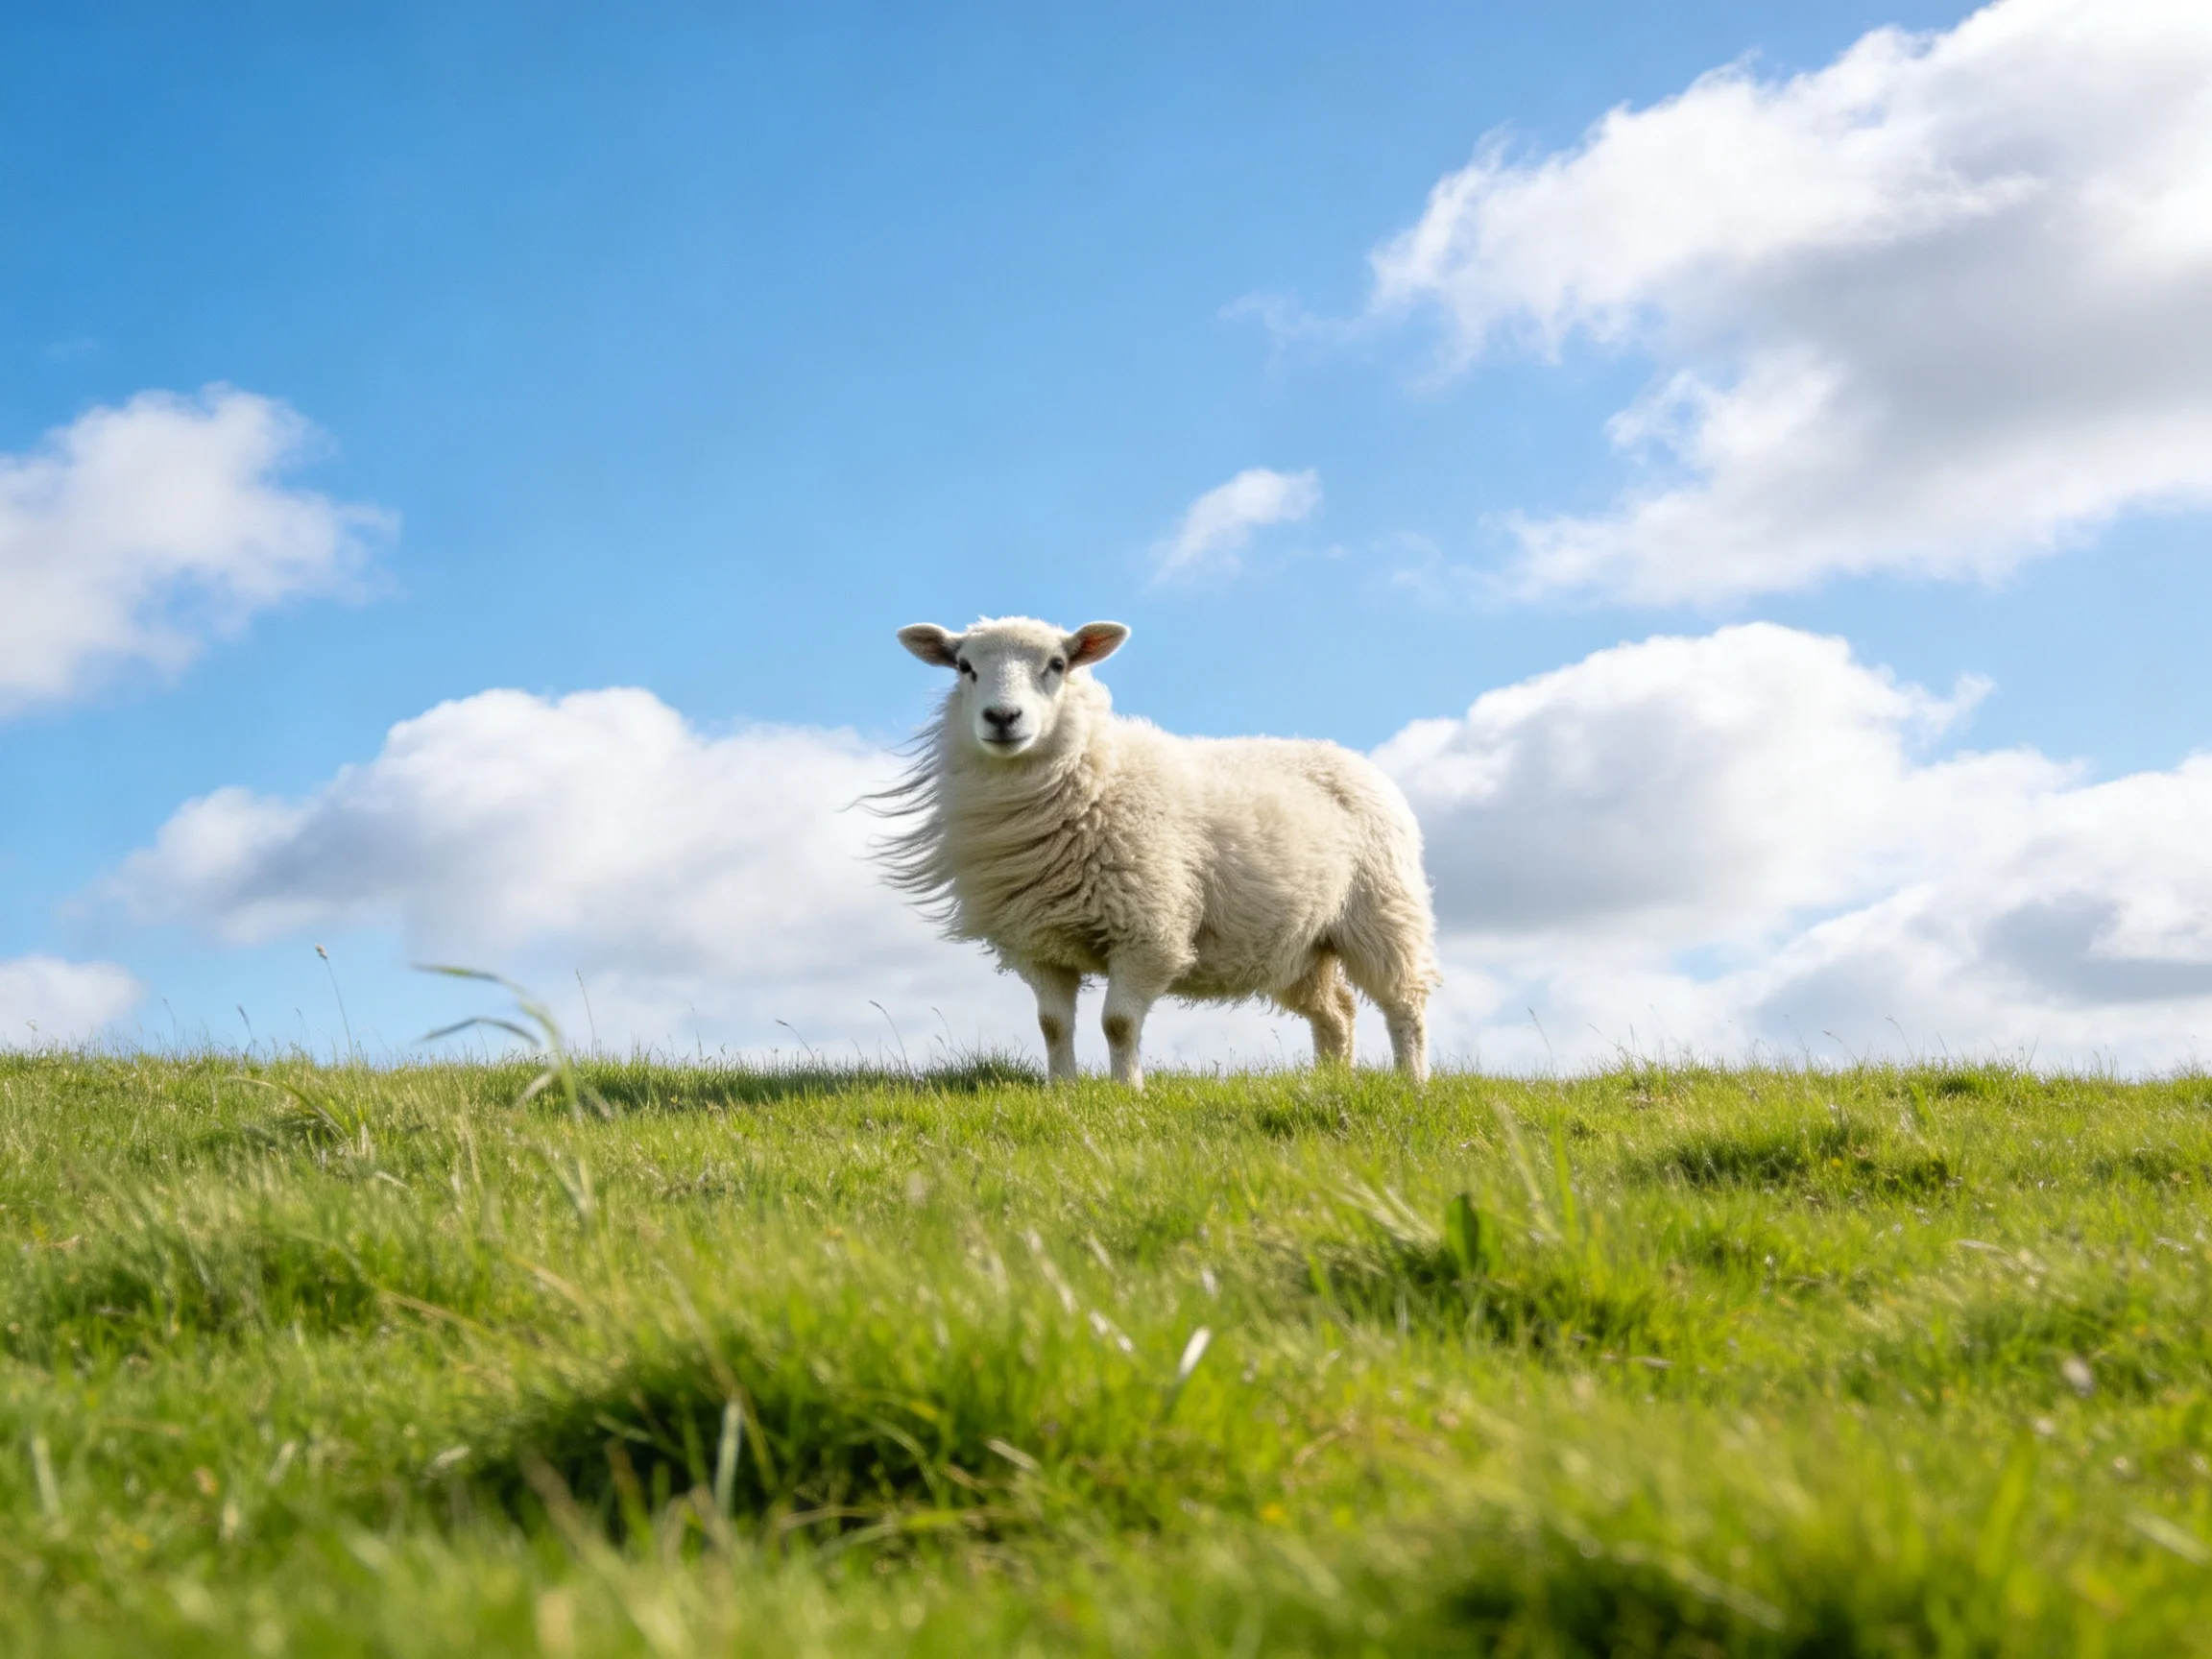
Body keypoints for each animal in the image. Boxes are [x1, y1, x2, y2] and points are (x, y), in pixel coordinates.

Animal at [877, 615, 1437, 1088]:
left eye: (1057, 665)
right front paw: (1063, 1091)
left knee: (1404, 1005)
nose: (1002, 717)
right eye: (965, 667)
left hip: (1383, 914)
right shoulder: (1038, 942)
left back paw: (1411, 1083)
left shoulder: (1149, 930)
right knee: (1337, 1011)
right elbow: (1052, 1026)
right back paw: (1328, 1082)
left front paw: (1128, 1091)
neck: (1095, 777)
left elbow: (1119, 1023)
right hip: (1299, 945)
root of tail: (1346, 756)